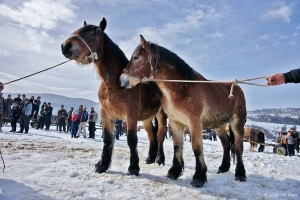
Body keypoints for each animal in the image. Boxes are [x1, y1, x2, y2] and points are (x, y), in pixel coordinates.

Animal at [60, 18, 166, 175]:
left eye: (93, 33)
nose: (66, 46)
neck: (114, 84)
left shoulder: (131, 115)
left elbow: (132, 139)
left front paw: (133, 168)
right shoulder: (106, 114)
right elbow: (108, 139)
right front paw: (102, 165)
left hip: (161, 115)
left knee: (160, 135)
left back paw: (160, 159)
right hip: (146, 118)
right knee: (152, 135)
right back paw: (150, 158)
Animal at [118, 35, 247, 187]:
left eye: (136, 57)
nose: (122, 80)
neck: (182, 88)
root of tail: (236, 87)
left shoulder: (194, 122)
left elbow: (197, 147)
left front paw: (199, 177)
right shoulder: (175, 122)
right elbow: (177, 146)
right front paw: (174, 171)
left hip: (237, 122)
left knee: (238, 147)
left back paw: (240, 174)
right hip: (219, 124)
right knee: (226, 143)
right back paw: (223, 168)